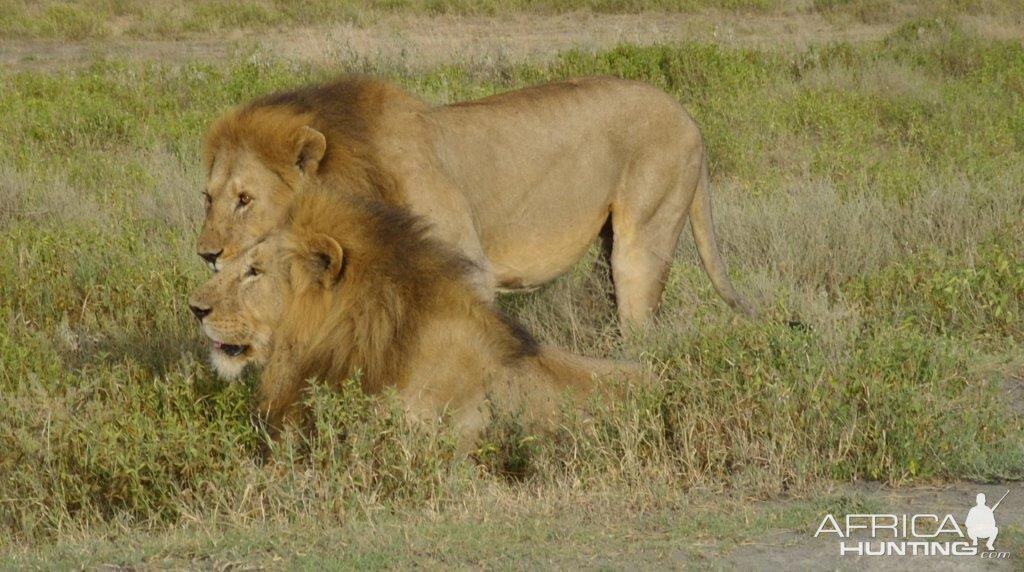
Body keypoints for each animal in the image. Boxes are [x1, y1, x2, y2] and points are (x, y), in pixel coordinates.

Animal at [197, 76, 753, 327]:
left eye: (245, 199)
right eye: (207, 198)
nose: (206, 254)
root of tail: (686, 115)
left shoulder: (471, 273)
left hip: (645, 236)